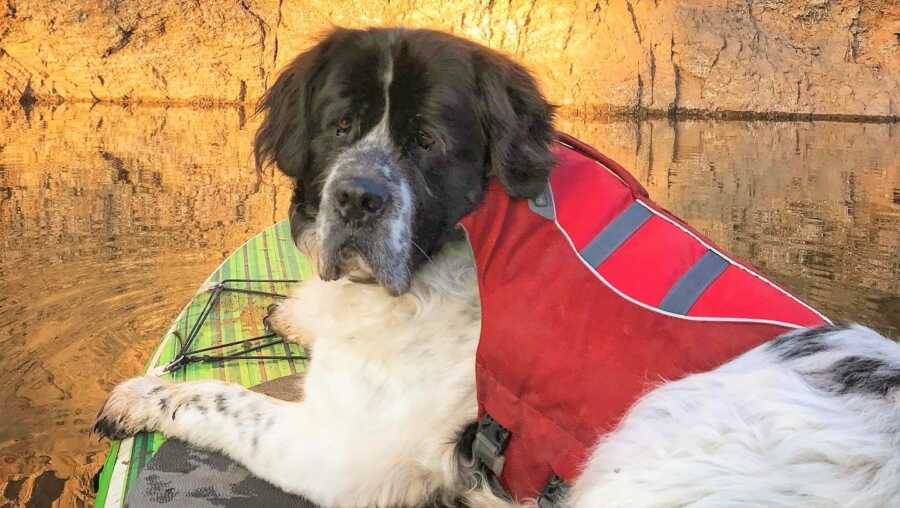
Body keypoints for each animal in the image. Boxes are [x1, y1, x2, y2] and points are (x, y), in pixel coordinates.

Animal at [95, 28, 900, 508]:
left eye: (428, 142)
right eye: (341, 126)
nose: (356, 198)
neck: (466, 243)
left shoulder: (343, 451)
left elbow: (222, 401)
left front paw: (141, 395)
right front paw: (296, 311)